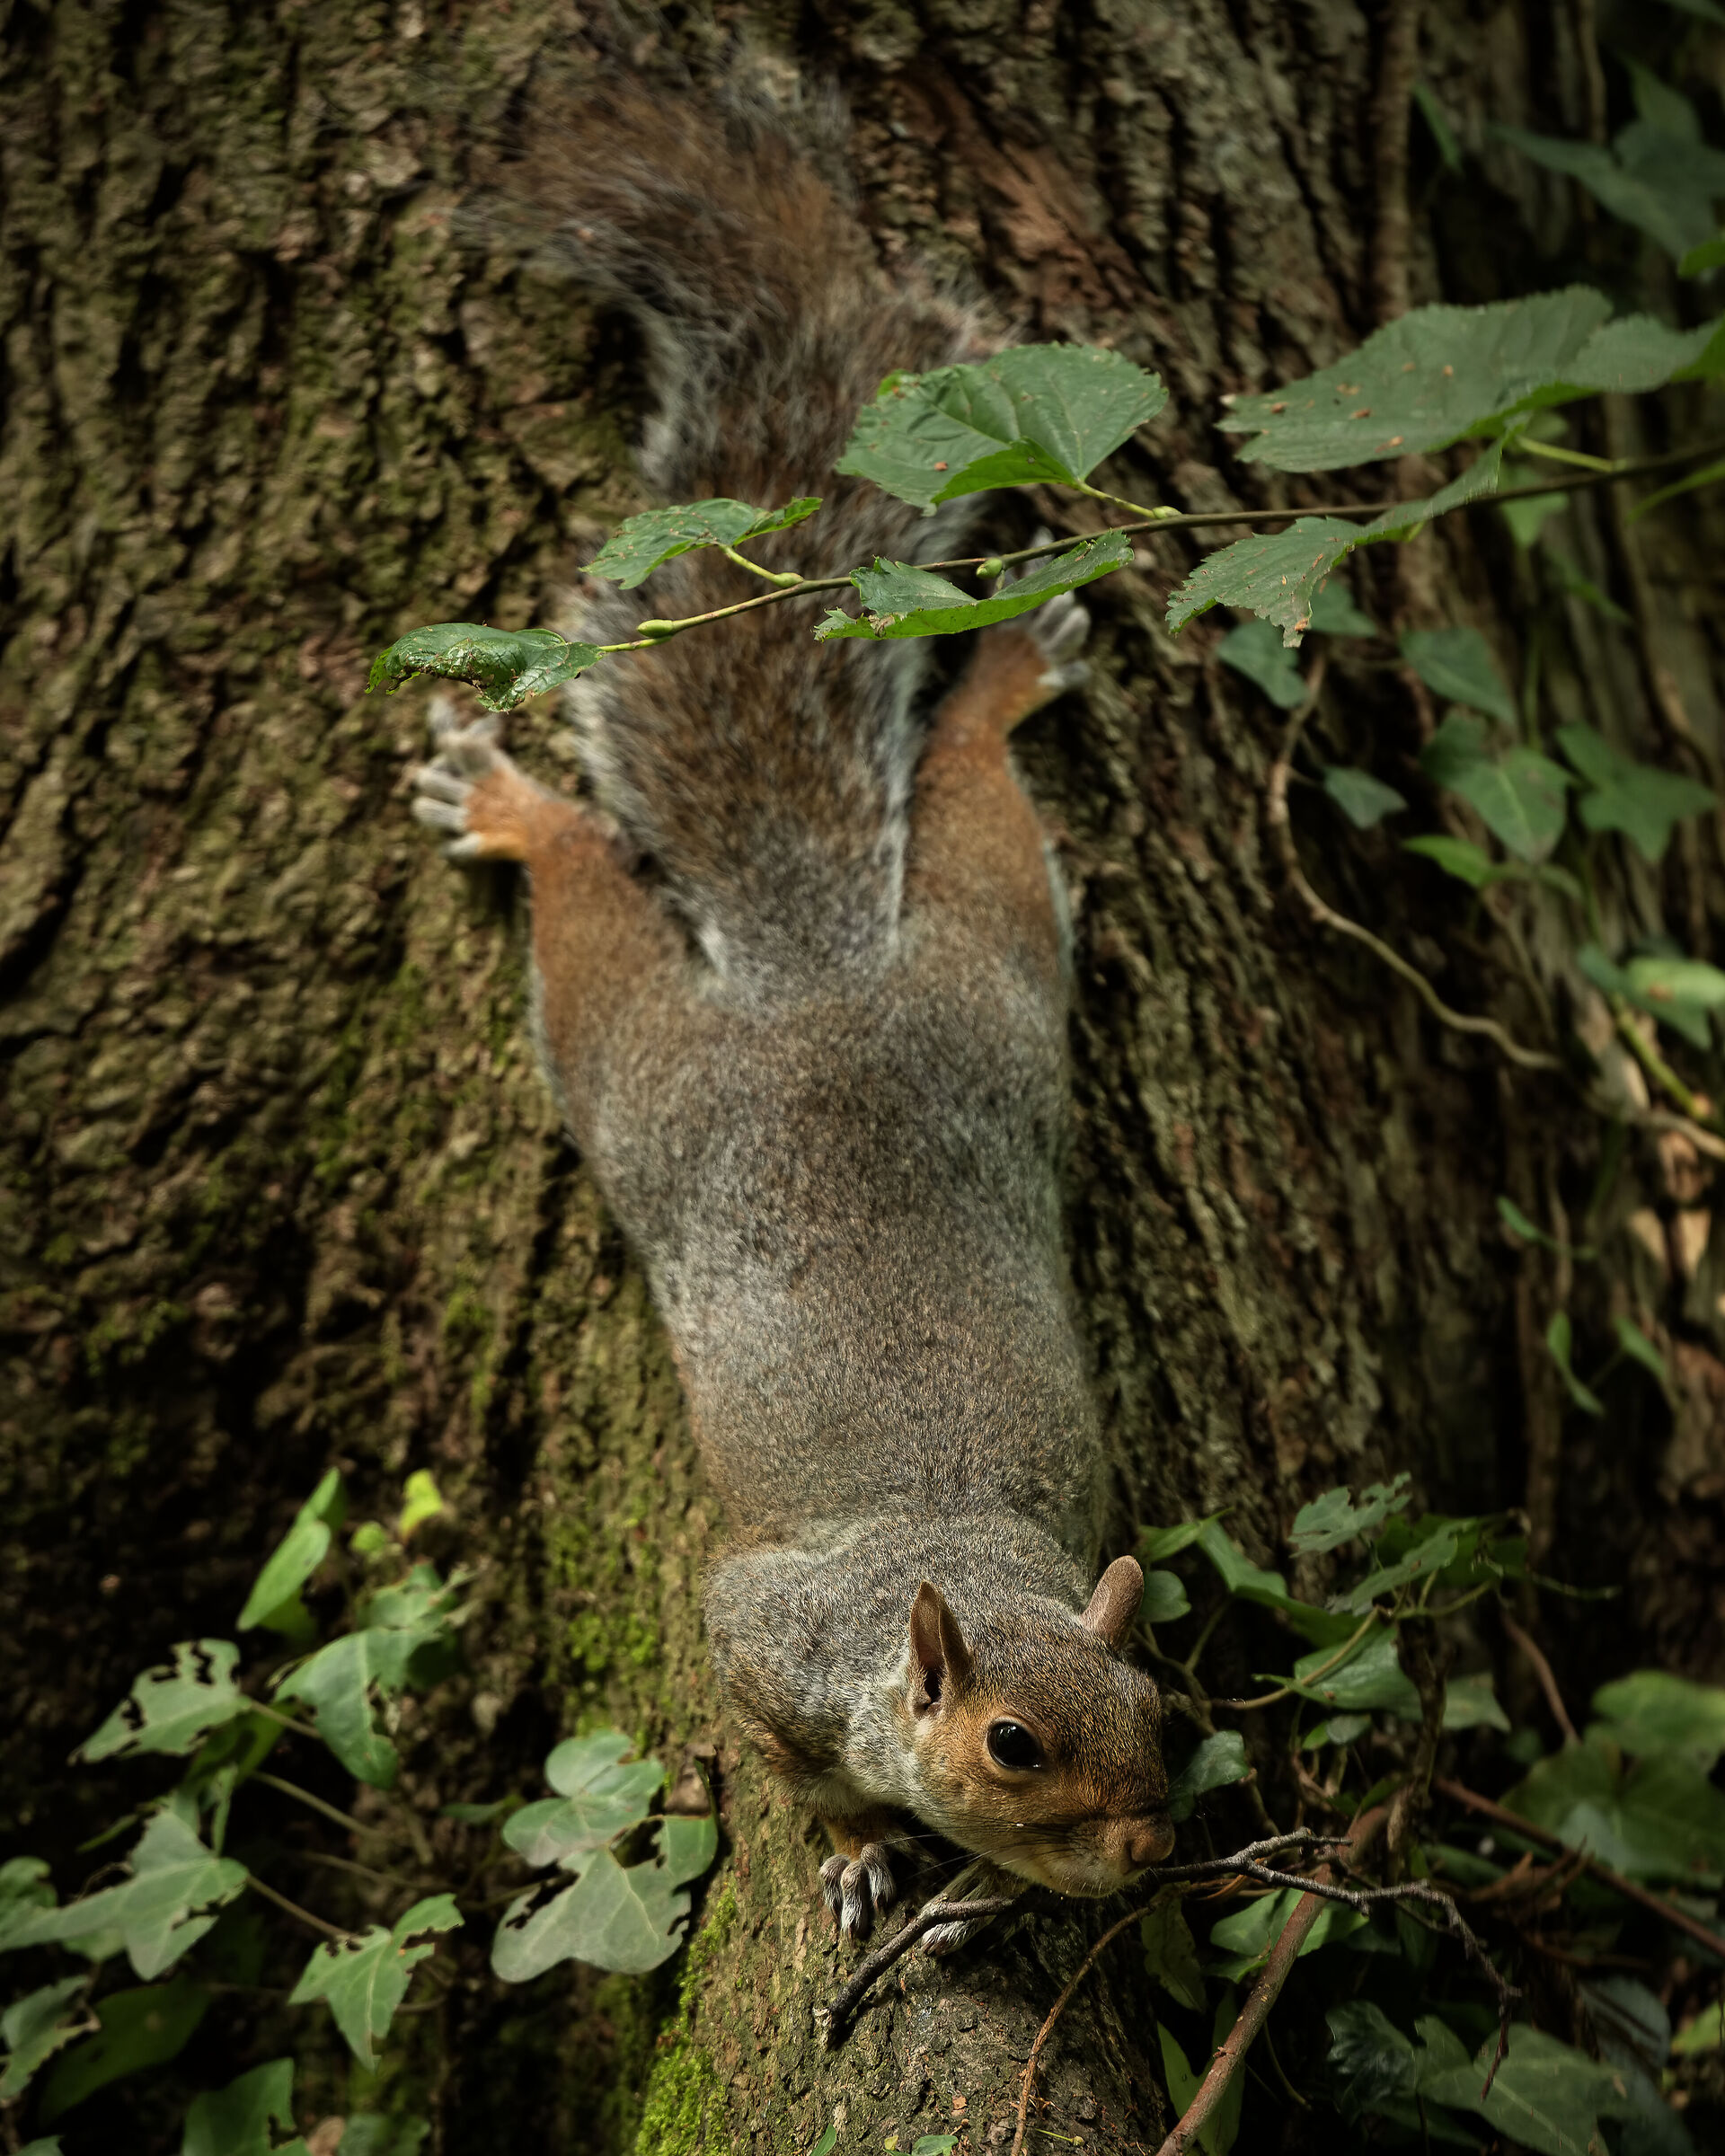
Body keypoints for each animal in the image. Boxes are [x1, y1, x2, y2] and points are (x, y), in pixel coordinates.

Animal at [410, 88, 1173, 1944]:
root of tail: (813, 977)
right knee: (591, 916)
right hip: (649, 1071)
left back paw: (1004, 673)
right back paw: (520, 811)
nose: (1150, 1854)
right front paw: (860, 1853)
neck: (952, 1573)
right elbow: (786, 1765)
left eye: (1162, 1710)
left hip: (985, 985)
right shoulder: (754, 1636)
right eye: (1015, 1744)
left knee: (967, 788)